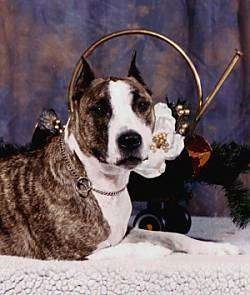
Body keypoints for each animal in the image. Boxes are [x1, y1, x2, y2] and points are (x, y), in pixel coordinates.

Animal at [0, 53, 238, 262]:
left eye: (142, 105)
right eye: (99, 108)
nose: (130, 140)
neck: (100, 183)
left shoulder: (127, 231)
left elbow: (172, 235)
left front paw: (213, 247)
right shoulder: (67, 254)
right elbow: (124, 249)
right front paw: (151, 249)